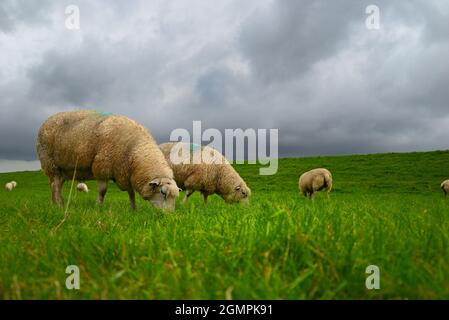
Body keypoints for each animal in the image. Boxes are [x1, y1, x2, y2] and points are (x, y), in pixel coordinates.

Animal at [36, 110, 179, 212]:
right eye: (163, 193)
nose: (169, 216)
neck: (135, 152)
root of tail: (46, 122)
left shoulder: (124, 173)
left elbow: (131, 193)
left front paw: (134, 209)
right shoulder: (101, 168)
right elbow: (102, 190)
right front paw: (98, 206)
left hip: (62, 170)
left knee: (56, 185)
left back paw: (56, 203)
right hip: (50, 163)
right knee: (55, 185)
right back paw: (59, 205)